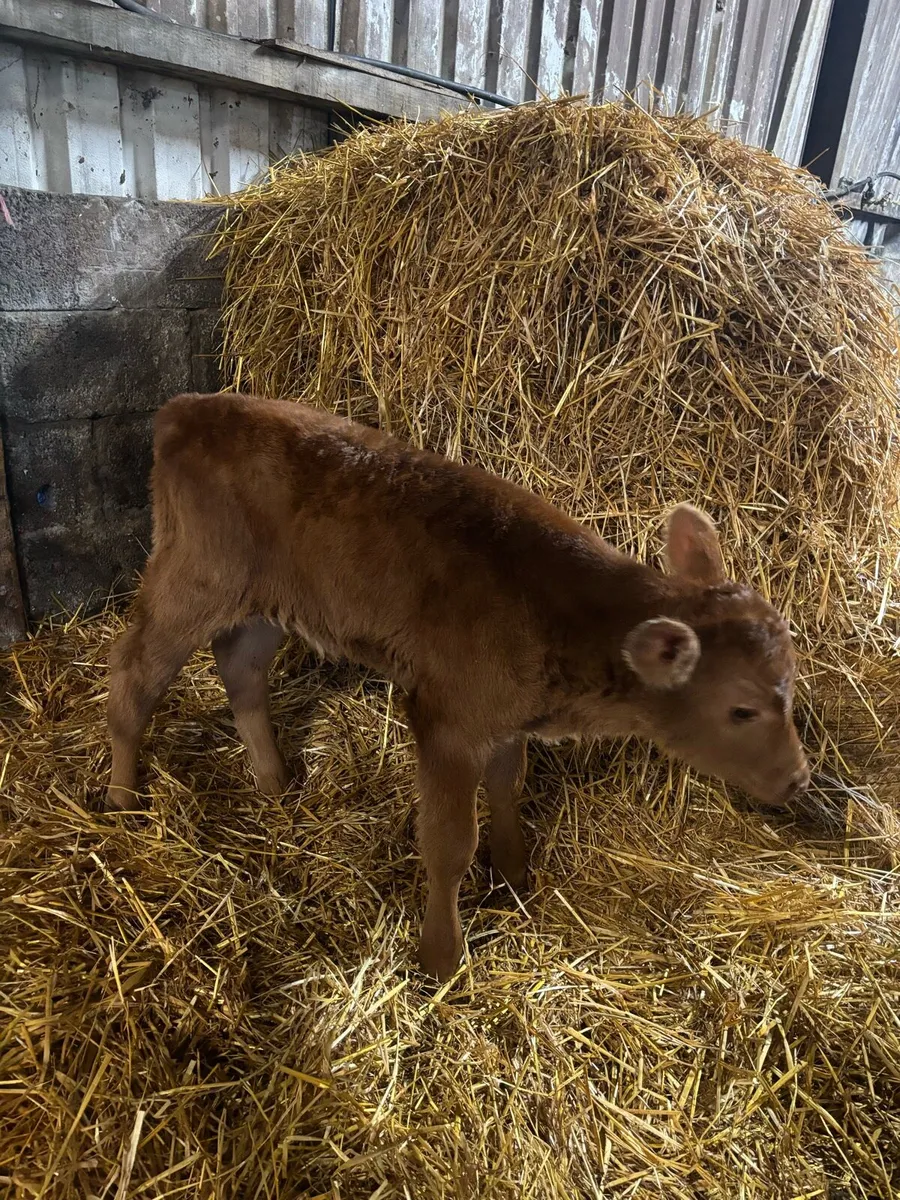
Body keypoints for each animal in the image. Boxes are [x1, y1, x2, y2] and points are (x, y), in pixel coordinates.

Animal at [107, 393, 809, 980]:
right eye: (742, 710)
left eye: (792, 684)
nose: (799, 779)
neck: (556, 616)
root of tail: (187, 407)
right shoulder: (445, 718)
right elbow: (448, 844)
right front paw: (441, 958)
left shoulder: (503, 715)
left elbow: (507, 785)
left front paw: (516, 872)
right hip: (195, 575)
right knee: (134, 673)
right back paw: (121, 799)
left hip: (265, 600)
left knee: (242, 668)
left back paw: (274, 782)